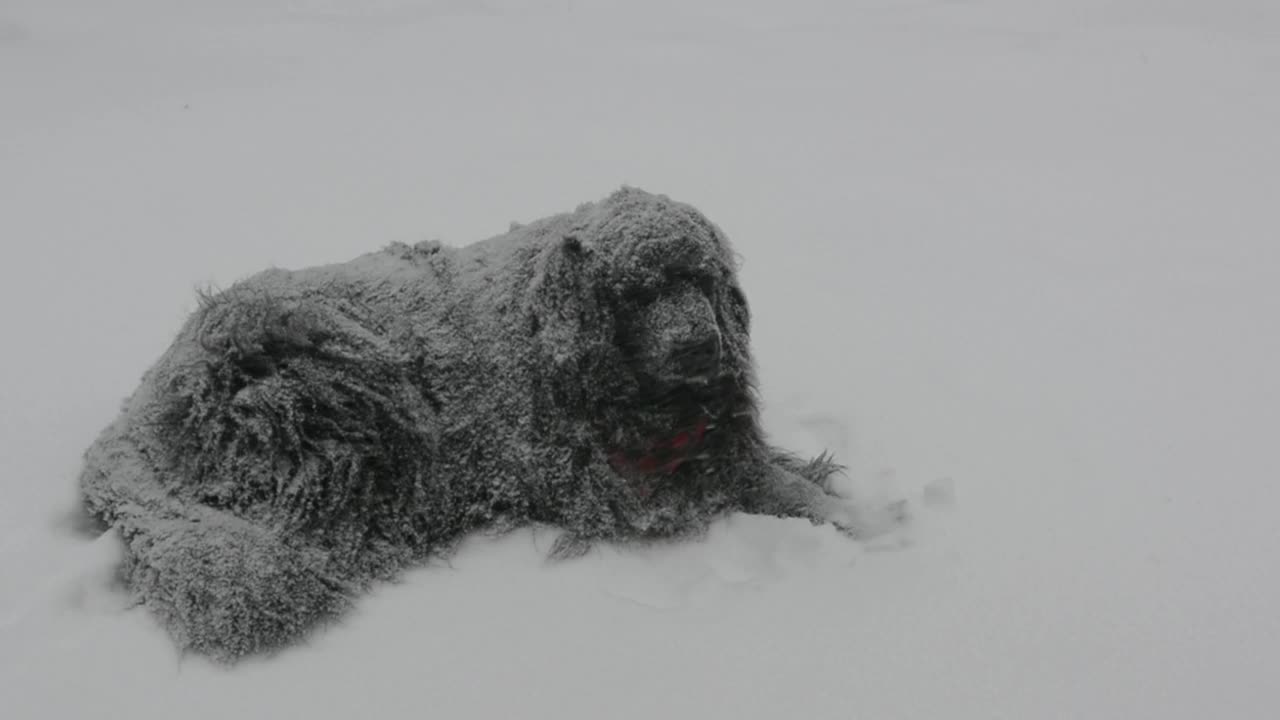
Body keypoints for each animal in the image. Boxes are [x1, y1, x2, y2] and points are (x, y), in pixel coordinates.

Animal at [80, 188, 901, 661]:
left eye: (698, 279)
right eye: (637, 293)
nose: (700, 344)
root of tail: (126, 425)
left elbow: (781, 470)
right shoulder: (626, 485)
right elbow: (773, 490)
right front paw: (864, 524)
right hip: (319, 367)